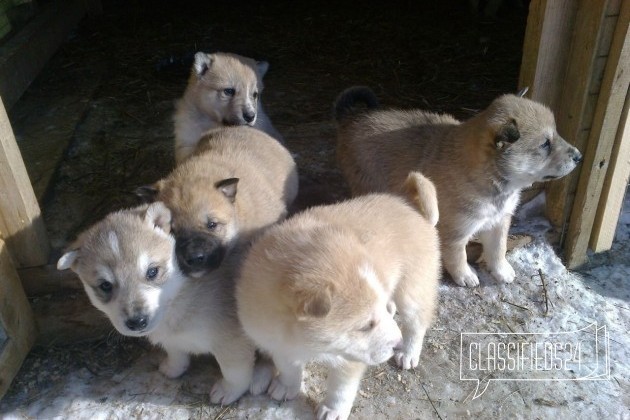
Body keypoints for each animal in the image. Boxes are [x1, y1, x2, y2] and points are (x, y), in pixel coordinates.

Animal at [55, 202, 272, 406]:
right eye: (105, 285)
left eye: (152, 272)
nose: (137, 322)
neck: (179, 299)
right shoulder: (170, 339)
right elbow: (176, 353)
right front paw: (173, 368)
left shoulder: (231, 341)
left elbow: (234, 371)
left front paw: (228, 390)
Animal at [239, 173, 442, 420]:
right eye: (365, 325)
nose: (396, 343)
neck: (298, 339)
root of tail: (406, 200)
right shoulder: (277, 344)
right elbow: (288, 368)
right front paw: (287, 386)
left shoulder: (349, 359)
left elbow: (341, 388)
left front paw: (333, 410)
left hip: (412, 290)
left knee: (417, 324)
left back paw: (409, 352)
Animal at [336, 85, 584, 288]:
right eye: (545, 144)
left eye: (555, 134)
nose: (579, 156)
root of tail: (354, 119)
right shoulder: (456, 232)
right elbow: (458, 257)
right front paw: (465, 276)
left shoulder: (499, 221)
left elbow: (498, 249)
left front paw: (502, 271)